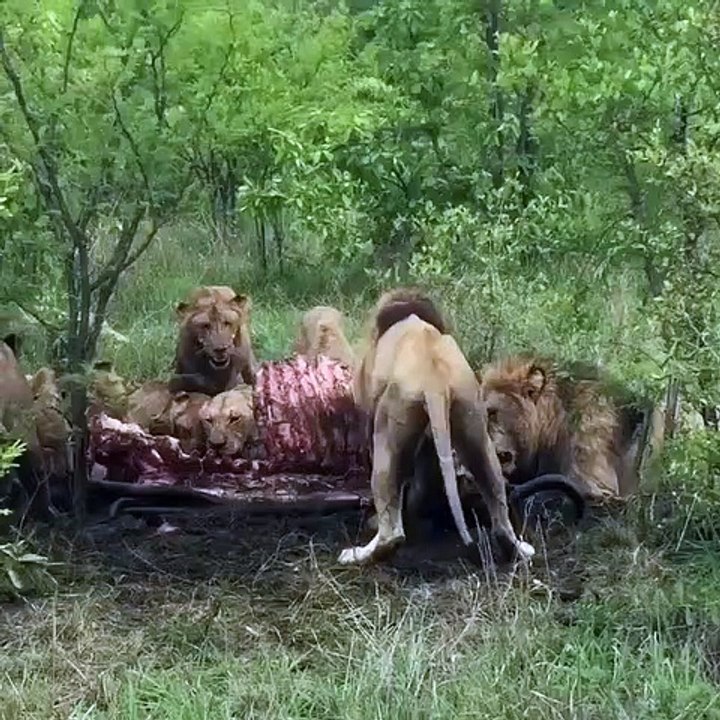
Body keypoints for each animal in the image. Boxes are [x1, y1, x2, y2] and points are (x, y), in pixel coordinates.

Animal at [337, 288, 535, 566]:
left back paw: (358, 554)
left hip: (391, 425)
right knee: (496, 501)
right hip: (473, 422)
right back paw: (518, 550)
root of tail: (434, 379)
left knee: (392, 531)